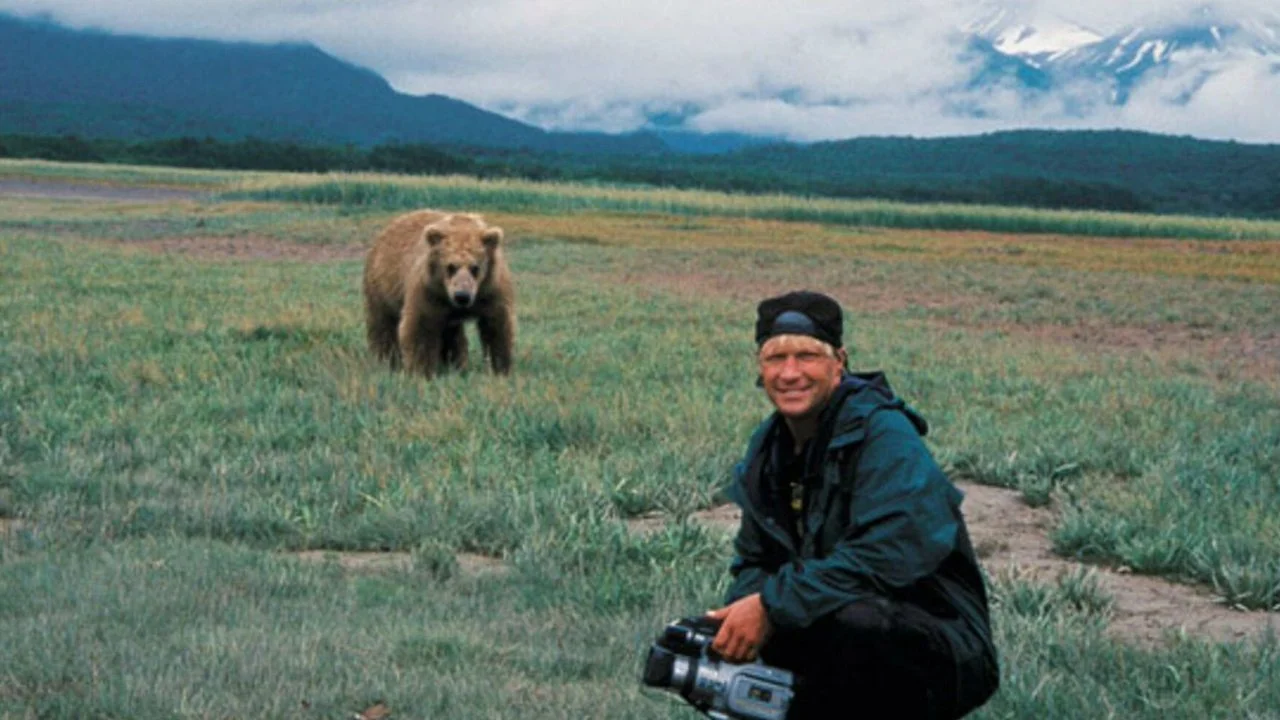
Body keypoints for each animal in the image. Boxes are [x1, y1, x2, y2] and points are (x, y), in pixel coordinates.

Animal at [362, 209, 515, 378]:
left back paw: (454, 364)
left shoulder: (491, 290)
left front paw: (500, 369)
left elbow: (497, 327)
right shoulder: (429, 291)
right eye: (450, 266)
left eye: (475, 267)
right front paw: (421, 371)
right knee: (383, 324)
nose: (462, 296)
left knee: (452, 335)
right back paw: (387, 359)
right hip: (382, 287)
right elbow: (421, 328)